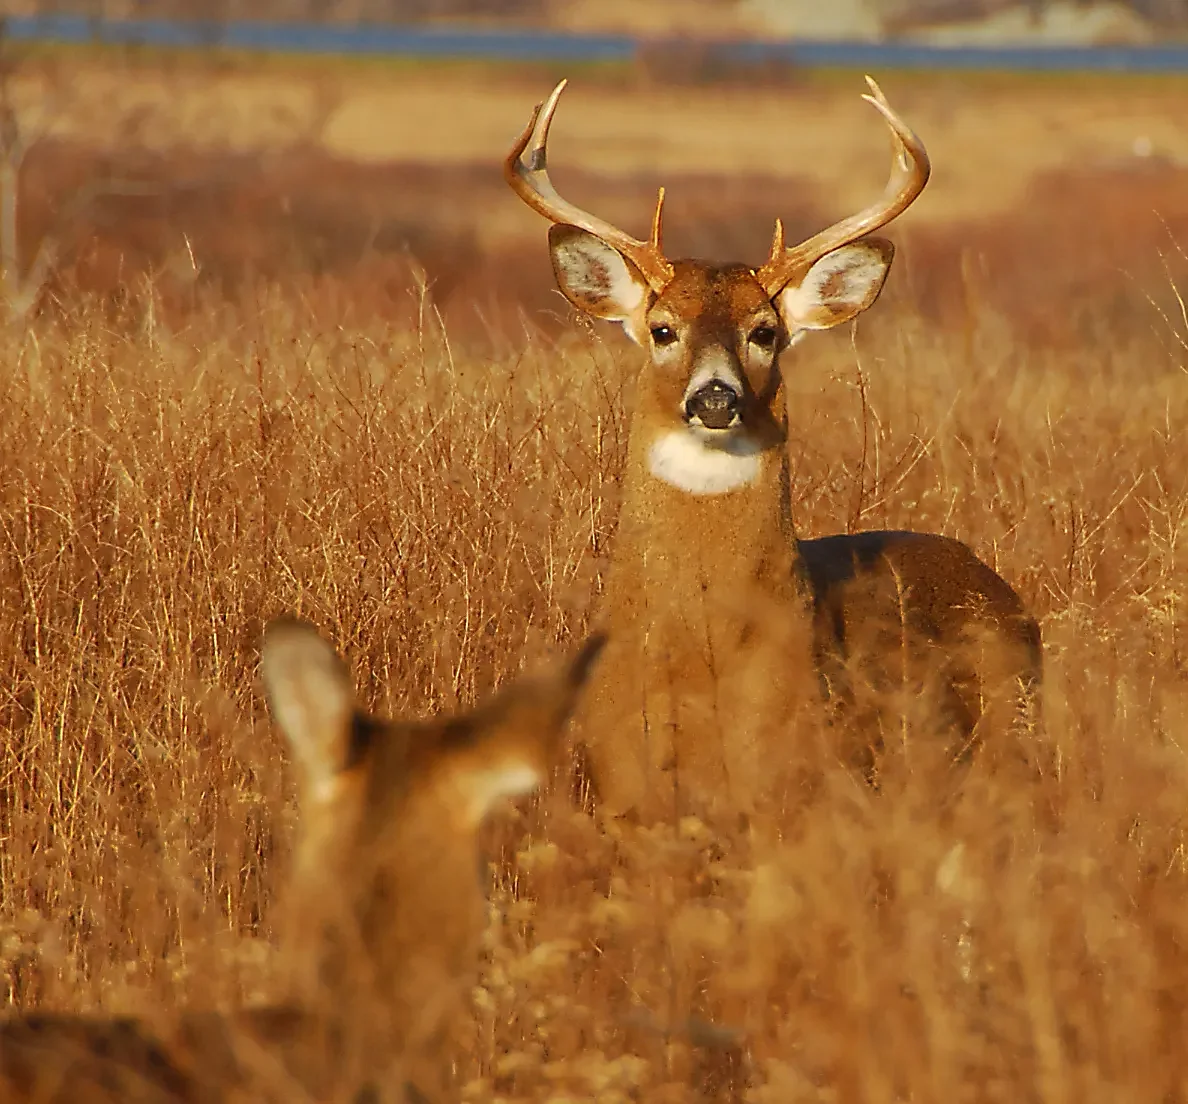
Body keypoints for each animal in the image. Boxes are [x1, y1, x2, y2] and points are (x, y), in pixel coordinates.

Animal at [504, 78, 1042, 826]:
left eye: (764, 331)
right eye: (662, 328)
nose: (715, 397)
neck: (700, 661)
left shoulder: (803, 787)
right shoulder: (621, 792)